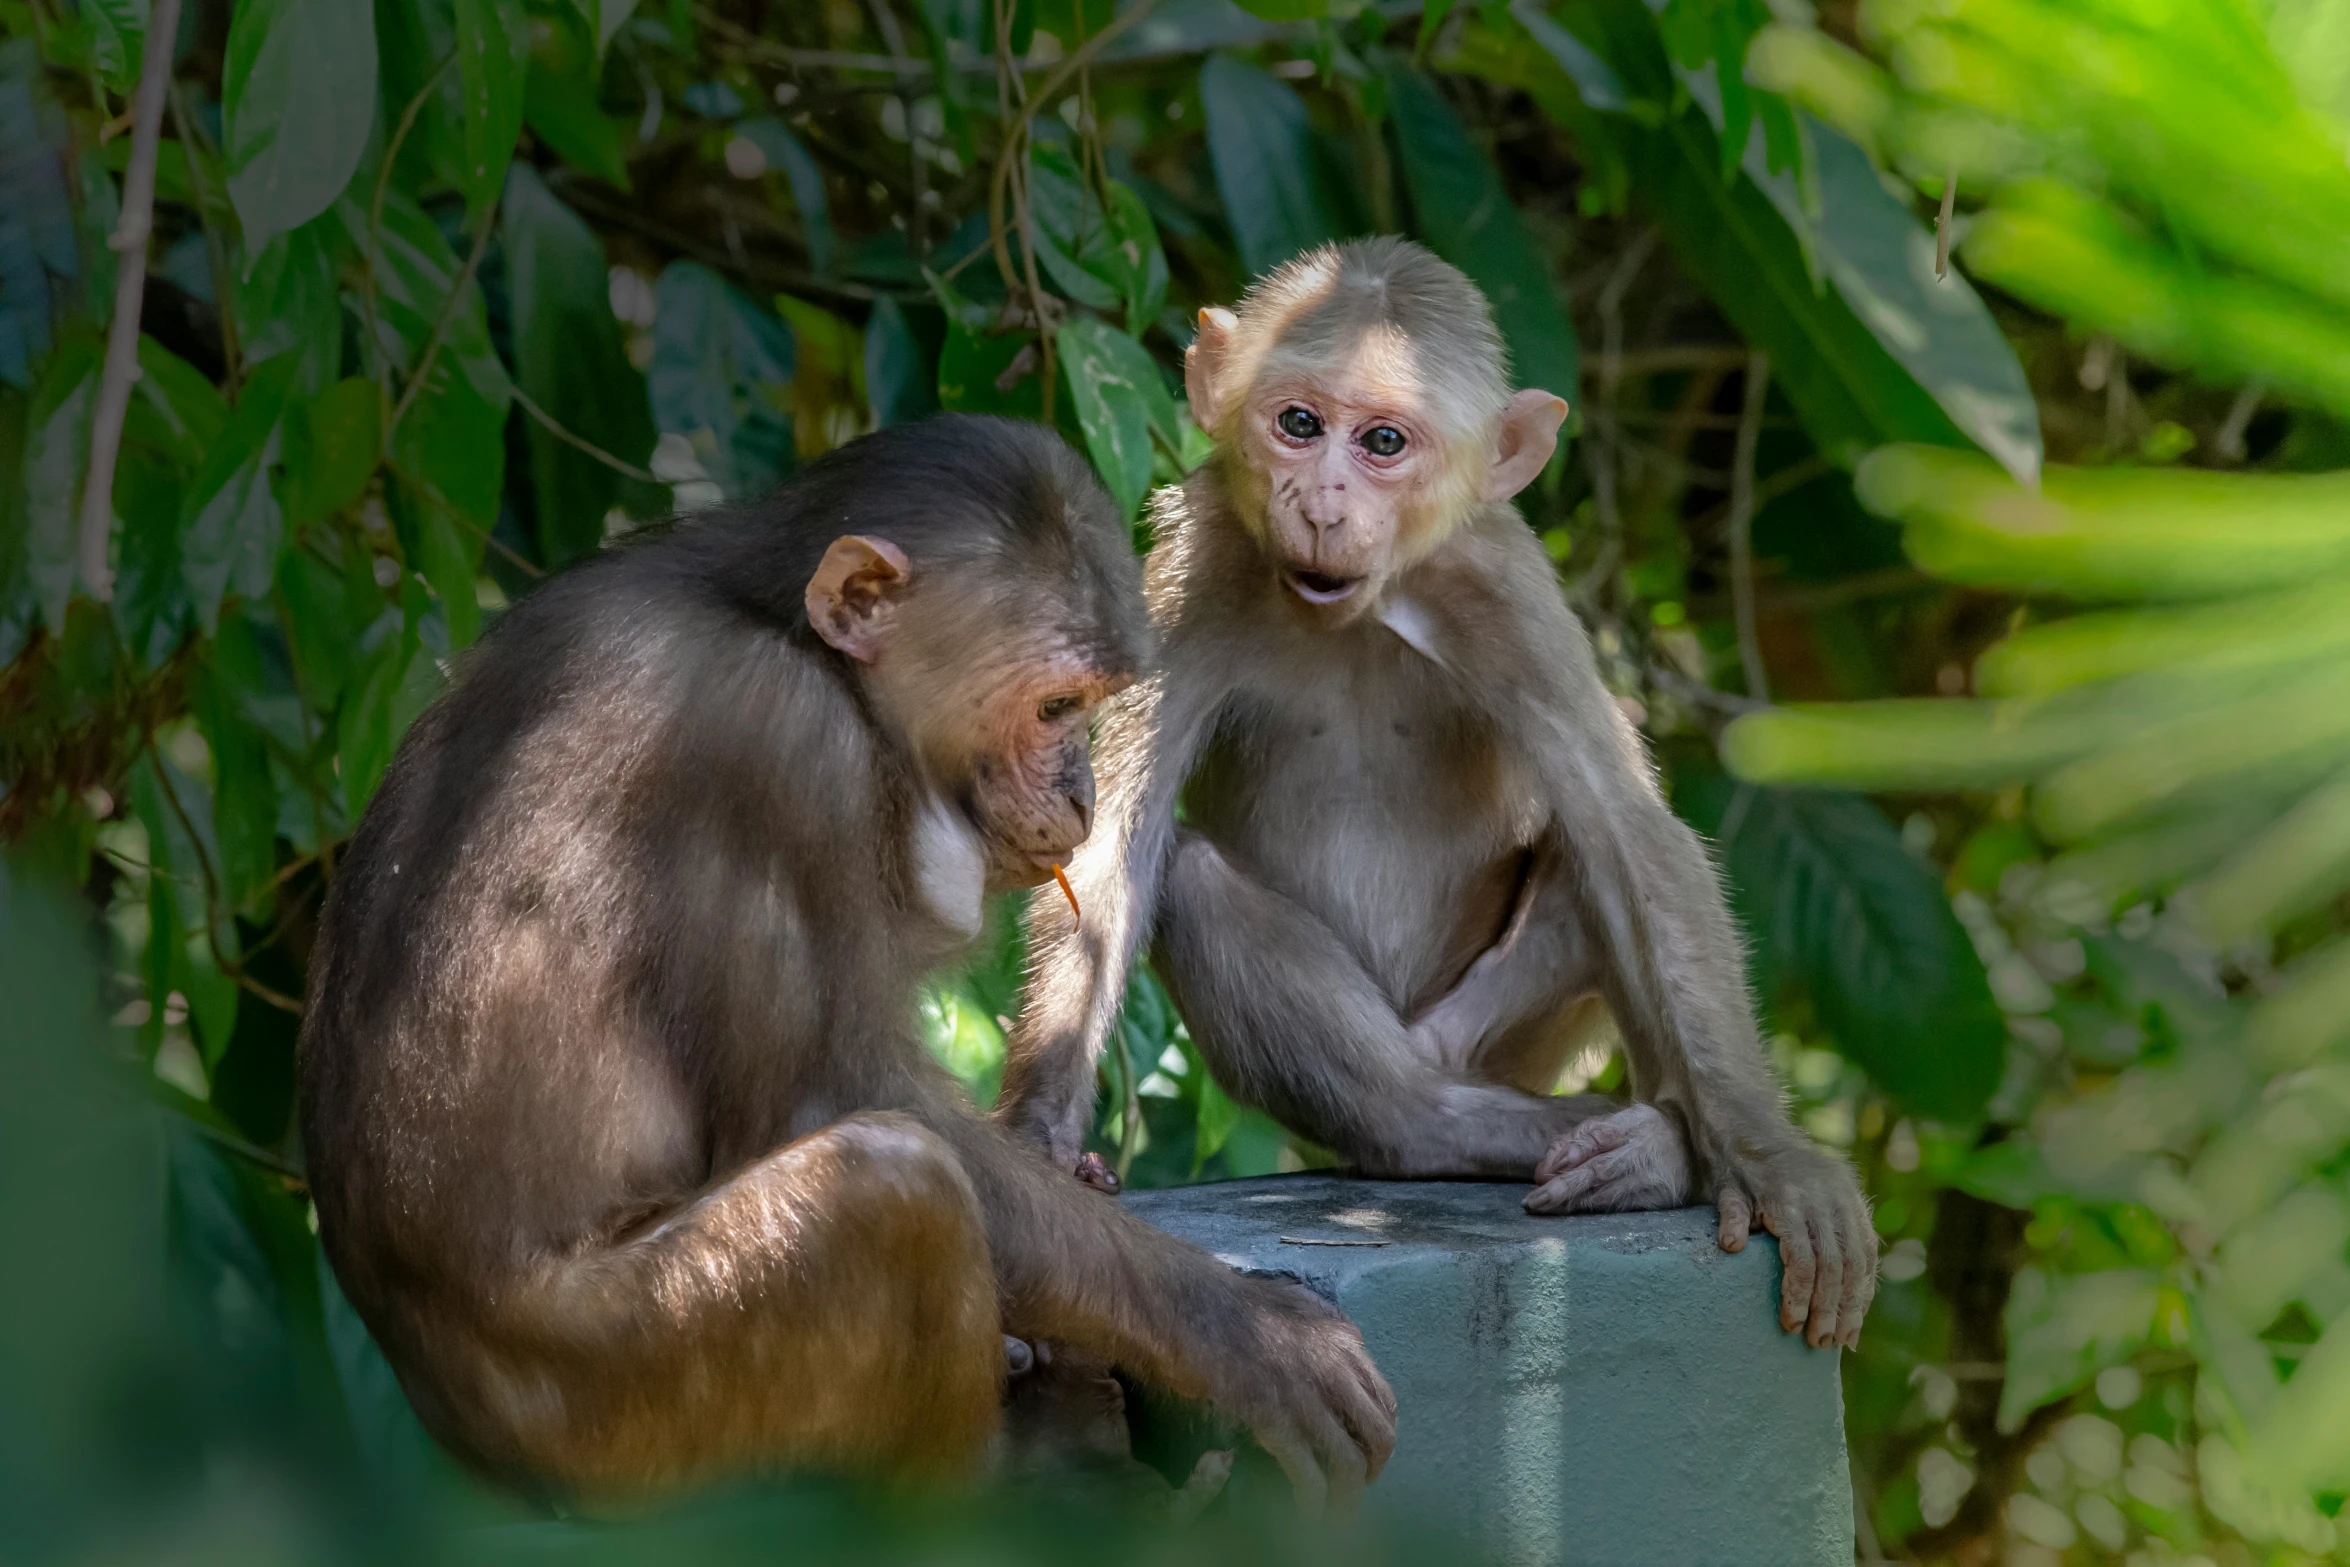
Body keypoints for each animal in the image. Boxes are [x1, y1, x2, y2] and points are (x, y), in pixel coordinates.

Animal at [293, 415, 1391, 1503]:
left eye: (1093, 702)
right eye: (1053, 708)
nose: (1080, 790)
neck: (789, 635)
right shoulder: (784, 743)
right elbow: (835, 1095)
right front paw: (1247, 1334)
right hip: (620, 1407)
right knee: (895, 1191)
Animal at [1001, 241, 1879, 1353]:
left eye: (1383, 441)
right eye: (1298, 424)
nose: (1322, 501)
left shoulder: (1503, 585)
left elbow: (1633, 837)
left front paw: (1772, 1160)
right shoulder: (1193, 564)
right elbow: (1112, 838)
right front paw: (1033, 1141)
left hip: (1506, 1040)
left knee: (1586, 851)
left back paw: (1660, 1146)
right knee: (1206, 891)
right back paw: (1435, 1128)